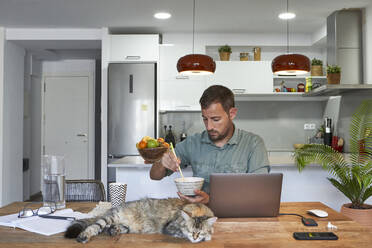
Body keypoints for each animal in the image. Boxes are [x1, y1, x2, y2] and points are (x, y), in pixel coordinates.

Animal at [65, 199, 217, 243]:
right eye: (191, 230)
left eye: (200, 231)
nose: (195, 237)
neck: (199, 209)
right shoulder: (170, 227)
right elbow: (181, 233)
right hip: (109, 218)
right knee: (94, 227)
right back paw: (84, 236)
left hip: (127, 227)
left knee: (112, 228)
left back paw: (114, 231)